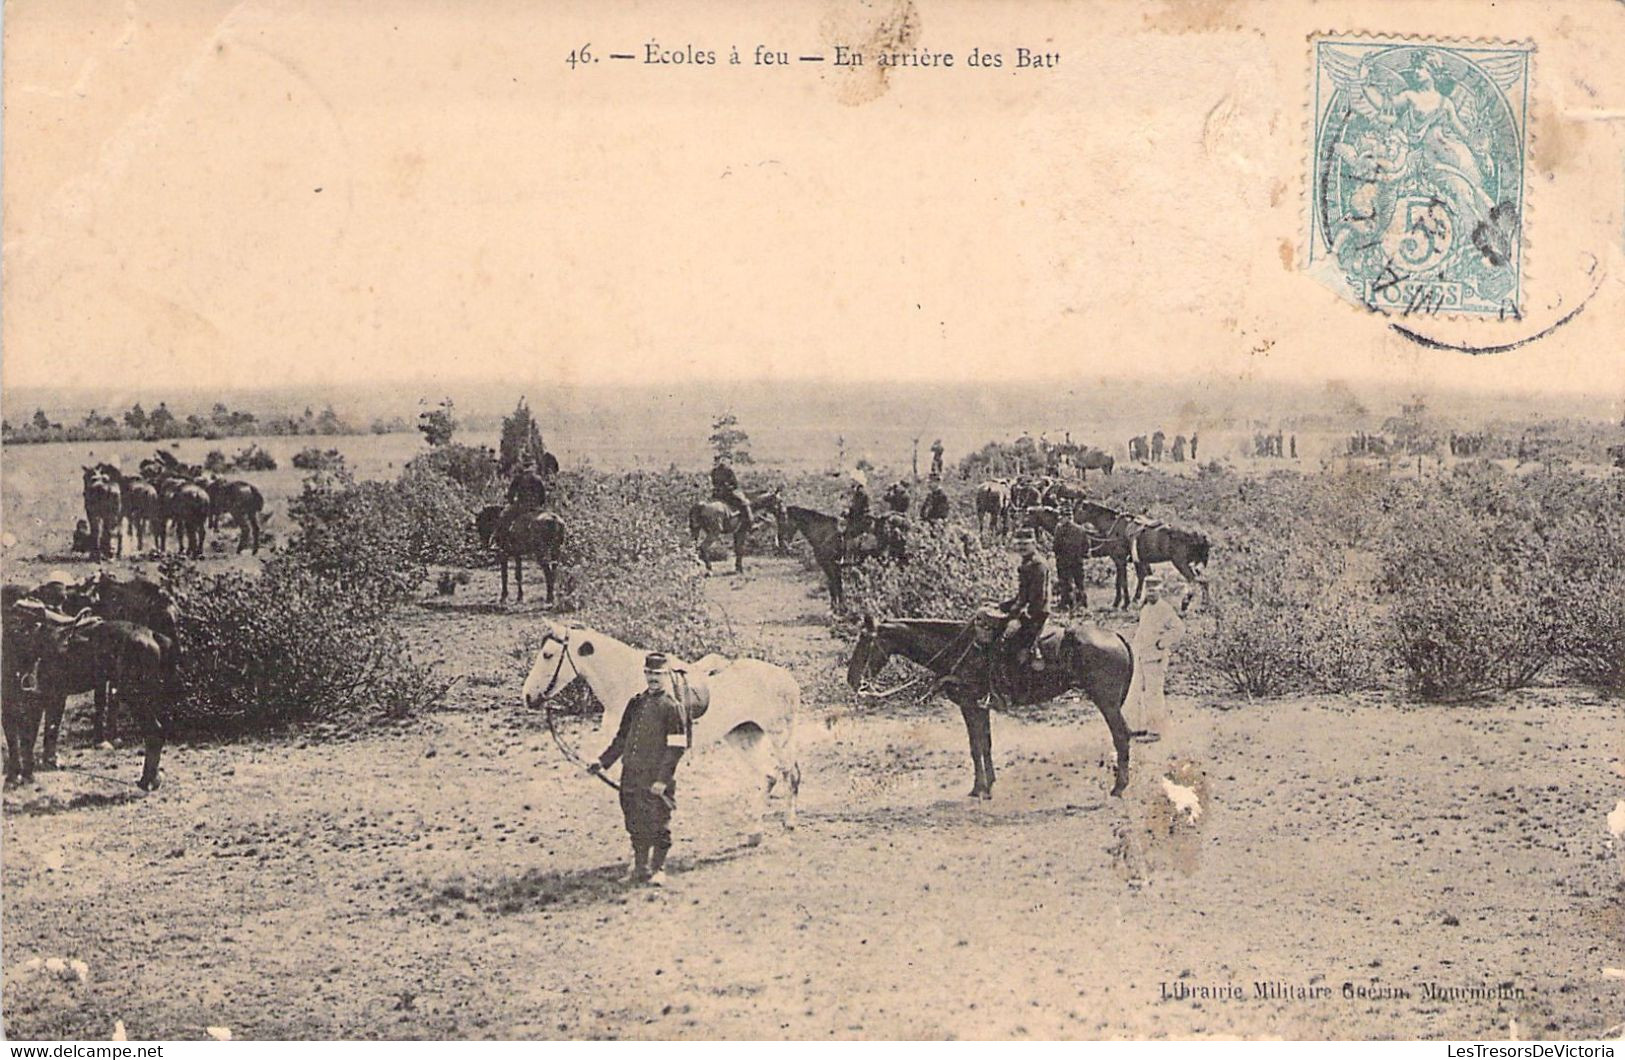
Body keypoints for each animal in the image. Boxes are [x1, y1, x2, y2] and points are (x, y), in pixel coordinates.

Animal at [520, 621, 799, 838]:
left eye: (547, 654)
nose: (528, 697)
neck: (629, 682)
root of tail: (788, 679)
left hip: (778, 737)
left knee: (789, 773)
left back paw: (789, 821)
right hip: (743, 736)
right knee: (768, 776)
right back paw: (755, 831)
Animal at [845, 611, 1137, 793]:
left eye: (865, 642)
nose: (851, 679)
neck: (958, 650)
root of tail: (1116, 636)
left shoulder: (969, 705)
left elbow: (975, 747)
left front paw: (979, 789)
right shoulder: (980, 706)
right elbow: (985, 744)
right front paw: (989, 783)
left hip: (1107, 704)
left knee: (1121, 736)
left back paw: (1119, 787)